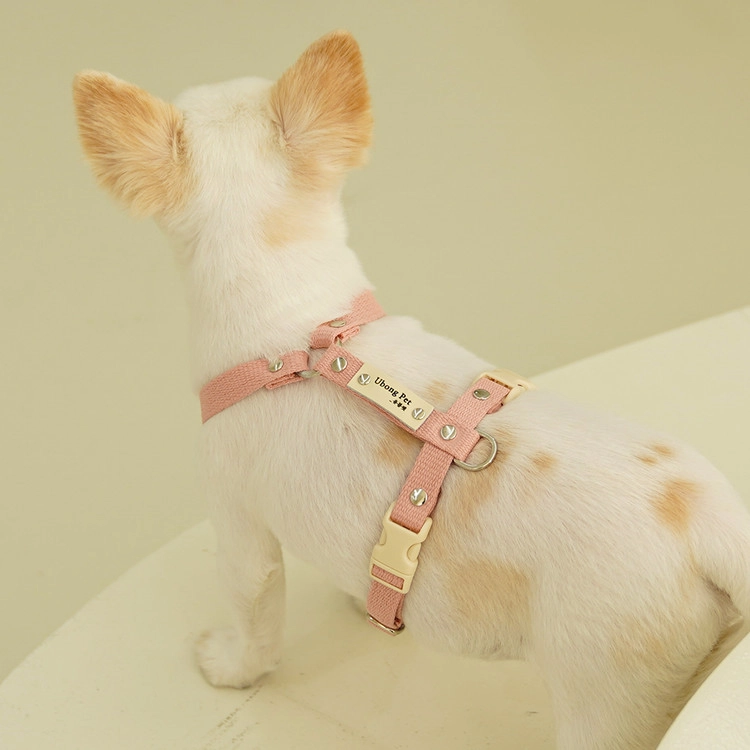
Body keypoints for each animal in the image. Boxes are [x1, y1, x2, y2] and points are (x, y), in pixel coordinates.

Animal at [73, 30, 750, 750]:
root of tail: (711, 528)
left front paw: (228, 666)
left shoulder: (236, 523)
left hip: (605, 695)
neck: (299, 325)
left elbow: (255, 616)